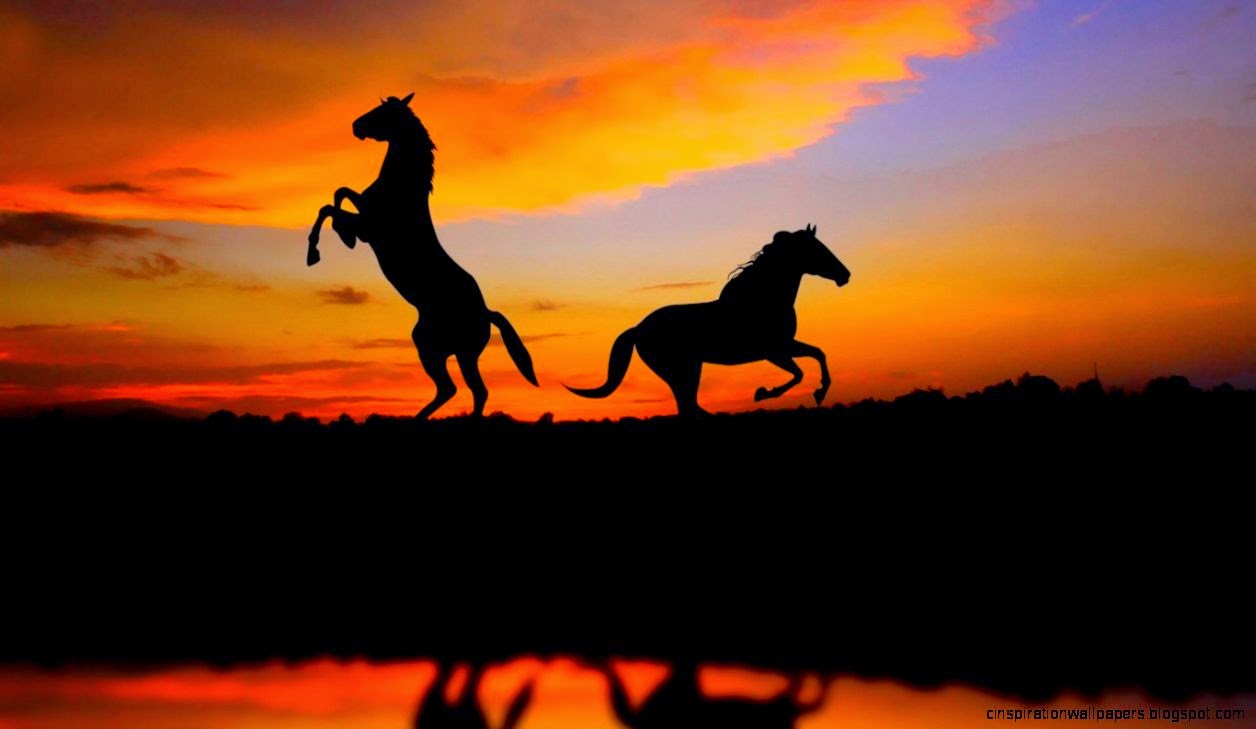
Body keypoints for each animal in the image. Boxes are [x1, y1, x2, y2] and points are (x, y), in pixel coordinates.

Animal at [307, 93, 537, 419]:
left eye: (384, 112)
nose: (355, 126)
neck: (402, 190)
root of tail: (486, 313)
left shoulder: (370, 227)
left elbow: (331, 206)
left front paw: (316, 251)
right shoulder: (365, 216)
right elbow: (339, 195)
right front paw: (340, 238)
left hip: (445, 350)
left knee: (463, 389)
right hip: (445, 350)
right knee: (462, 390)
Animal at [566, 225, 850, 416]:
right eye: (817, 249)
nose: (845, 275)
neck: (763, 298)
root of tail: (638, 329)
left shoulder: (784, 346)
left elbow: (818, 354)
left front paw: (819, 393)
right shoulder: (773, 350)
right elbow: (800, 372)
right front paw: (764, 393)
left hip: (688, 369)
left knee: (689, 407)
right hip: (681, 370)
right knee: (689, 406)